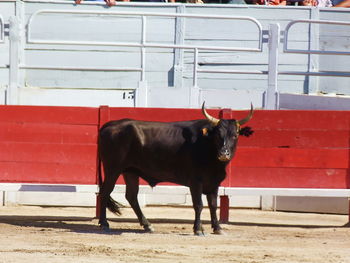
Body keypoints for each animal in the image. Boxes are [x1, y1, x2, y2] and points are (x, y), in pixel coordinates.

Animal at [97, 102, 253, 235]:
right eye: (217, 135)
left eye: (235, 135)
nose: (224, 154)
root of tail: (109, 125)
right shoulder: (195, 181)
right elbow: (199, 204)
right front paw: (198, 229)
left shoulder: (214, 182)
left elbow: (213, 205)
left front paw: (217, 228)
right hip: (113, 169)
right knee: (105, 192)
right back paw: (104, 223)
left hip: (130, 171)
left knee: (131, 196)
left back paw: (147, 225)